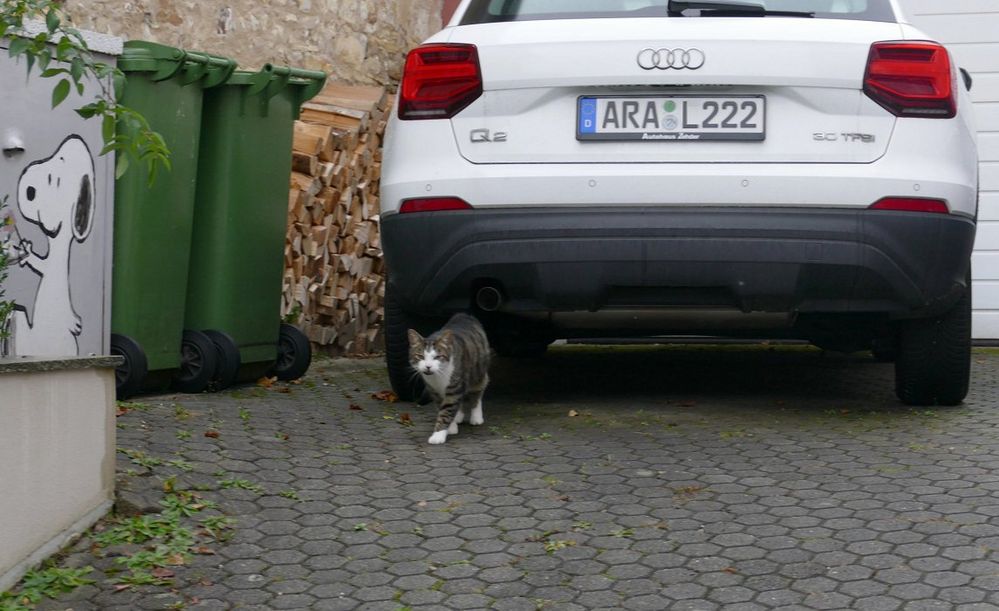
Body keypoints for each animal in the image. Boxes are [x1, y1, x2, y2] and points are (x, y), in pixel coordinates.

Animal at [408, 316, 490, 444]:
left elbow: (447, 410)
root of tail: (465, 316)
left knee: (478, 391)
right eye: (420, 356)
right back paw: (459, 416)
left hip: (478, 371)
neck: (438, 377)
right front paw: (451, 427)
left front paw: (438, 435)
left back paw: (476, 417)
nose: (428, 366)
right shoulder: (434, 390)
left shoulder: (455, 387)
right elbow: (442, 407)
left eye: (437, 357)